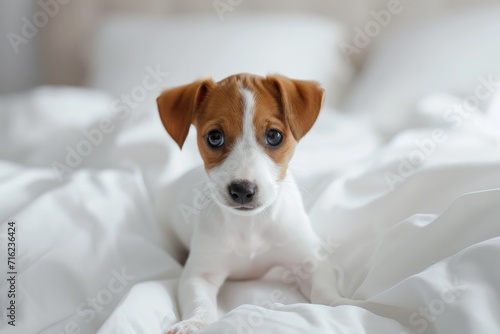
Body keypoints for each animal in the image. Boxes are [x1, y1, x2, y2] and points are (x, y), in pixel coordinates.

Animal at [158, 73, 342, 334]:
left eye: (274, 136)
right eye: (215, 137)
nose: (242, 190)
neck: (250, 226)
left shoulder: (310, 261)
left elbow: (325, 290)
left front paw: (340, 305)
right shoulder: (199, 275)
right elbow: (199, 302)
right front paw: (195, 323)